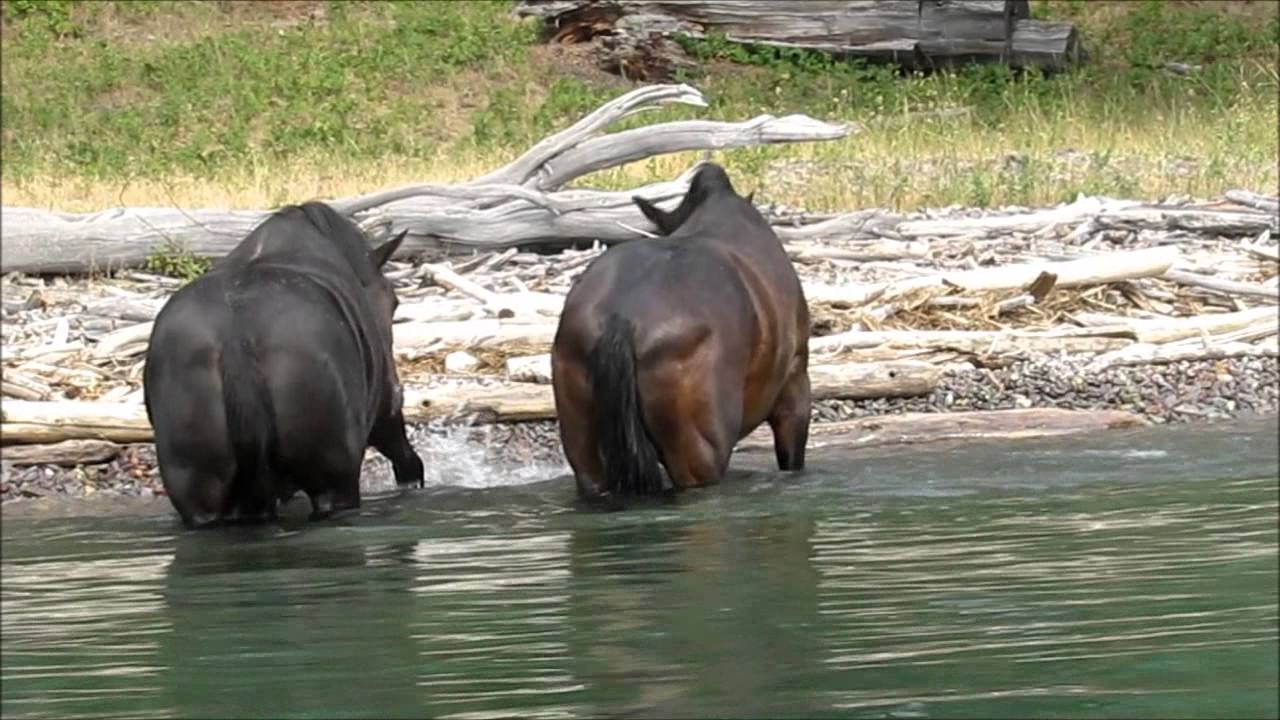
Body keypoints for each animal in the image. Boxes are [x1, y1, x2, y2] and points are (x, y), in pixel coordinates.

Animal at [143, 201, 424, 529]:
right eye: (393, 302)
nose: (398, 387)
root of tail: (235, 336)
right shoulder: (384, 415)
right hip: (333, 480)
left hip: (199, 493)